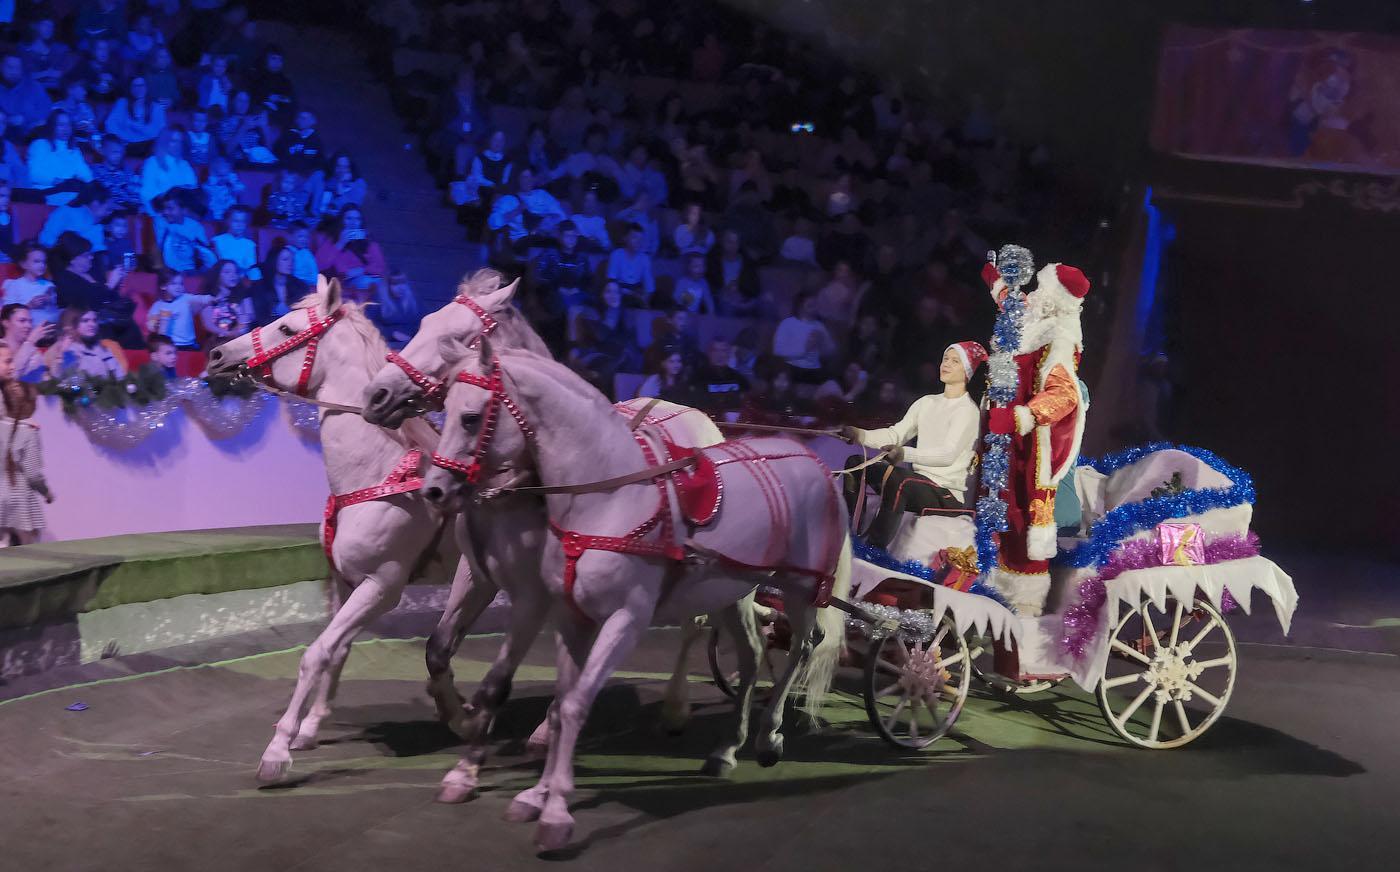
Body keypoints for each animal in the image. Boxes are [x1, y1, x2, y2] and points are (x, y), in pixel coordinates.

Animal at [422, 342, 851, 851]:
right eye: (441, 405)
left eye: (470, 418)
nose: (433, 490)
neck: (607, 498)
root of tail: (814, 460)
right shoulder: (570, 617)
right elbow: (561, 704)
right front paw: (534, 794)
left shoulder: (620, 619)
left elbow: (570, 703)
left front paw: (555, 811)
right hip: (732, 591)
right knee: (751, 654)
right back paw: (725, 750)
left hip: (802, 588)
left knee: (801, 647)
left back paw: (768, 738)